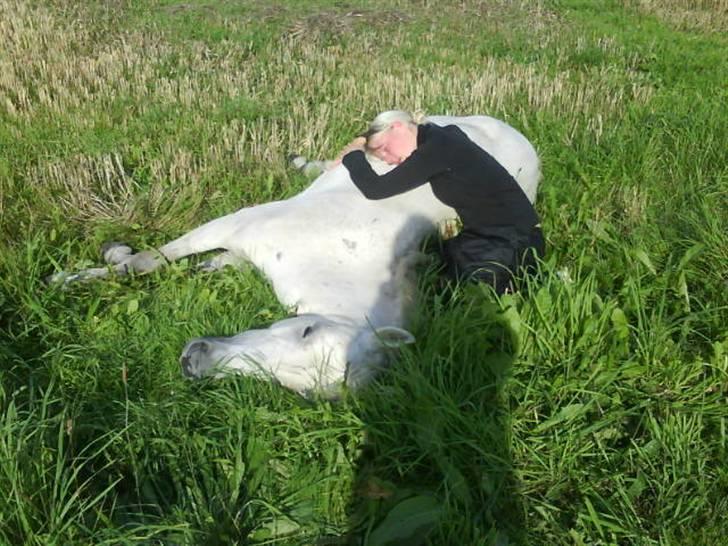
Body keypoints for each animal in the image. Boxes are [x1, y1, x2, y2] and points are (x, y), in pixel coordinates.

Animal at [52, 115, 540, 396]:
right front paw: (74, 276)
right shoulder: (235, 222)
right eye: (306, 329)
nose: (194, 360)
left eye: (297, 390)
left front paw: (213, 265)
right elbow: (144, 262)